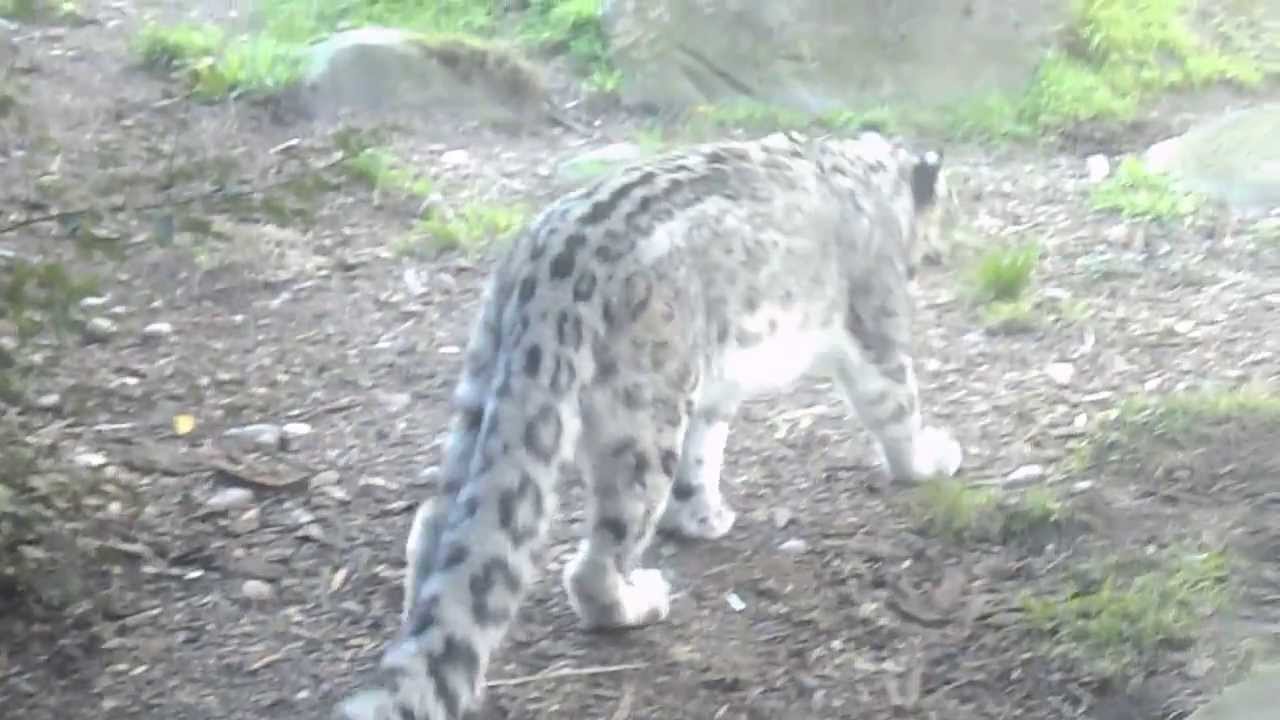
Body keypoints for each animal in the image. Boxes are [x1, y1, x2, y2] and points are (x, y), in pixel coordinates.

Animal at [336, 129, 963, 720]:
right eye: (953, 206)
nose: (944, 251)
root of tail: (548, 271)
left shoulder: (713, 390)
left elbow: (704, 450)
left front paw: (703, 515)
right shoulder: (876, 325)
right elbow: (897, 403)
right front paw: (931, 459)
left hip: (482, 388)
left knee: (440, 523)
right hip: (643, 422)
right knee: (596, 559)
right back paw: (637, 601)